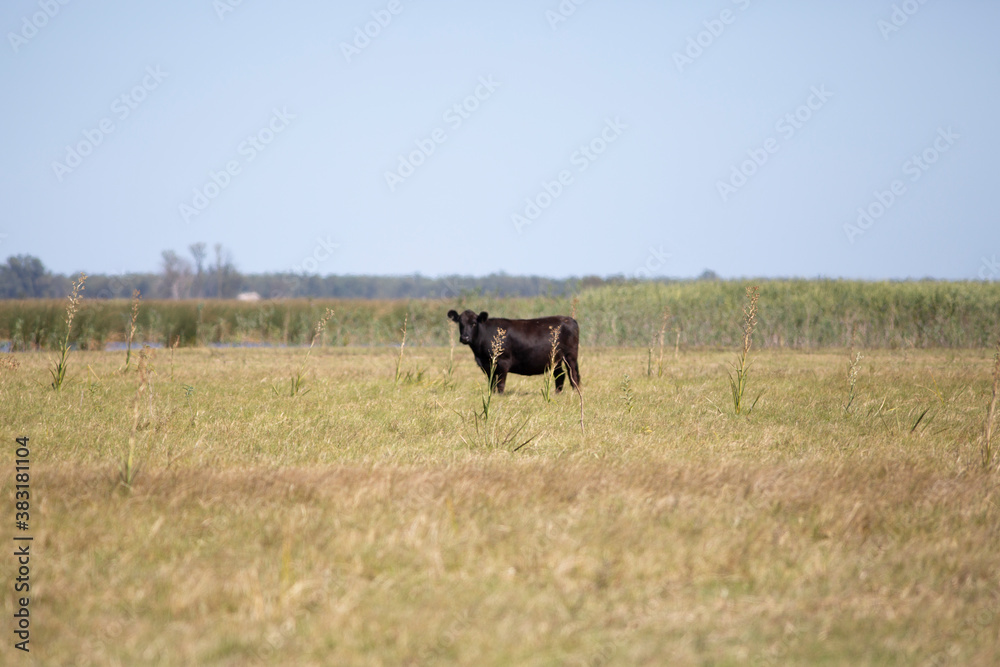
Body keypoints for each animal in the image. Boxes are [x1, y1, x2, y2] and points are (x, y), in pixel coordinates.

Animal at [446, 310, 580, 394]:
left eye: (474, 323)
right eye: (460, 324)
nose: (465, 338)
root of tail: (569, 319)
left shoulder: (503, 362)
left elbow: (500, 383)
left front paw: (499, 396)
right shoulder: (486, 365)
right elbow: (491, 383)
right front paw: (491, 395)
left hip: (570, 356)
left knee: (573, 374)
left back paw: (575, 393)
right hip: (555, 359)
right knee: (560, 374)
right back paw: (557, 393)